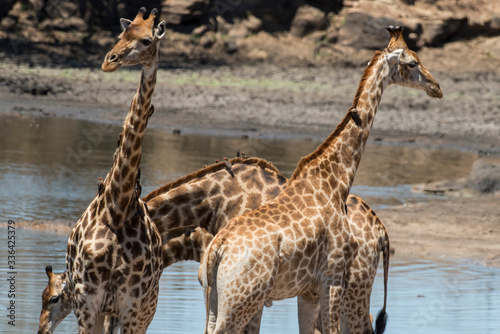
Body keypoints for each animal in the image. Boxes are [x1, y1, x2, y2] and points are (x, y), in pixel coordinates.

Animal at [64, 8, 166, 334]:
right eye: (122, 34)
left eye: (146, 40)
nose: (109, 60)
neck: (117, 207)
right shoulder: (87, 301)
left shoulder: (131, 305)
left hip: (147, 310)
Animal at [199, 26, 442, 334]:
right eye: (412, 62)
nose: (437, 87)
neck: (336, 182)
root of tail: (217, 250)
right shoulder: (333, 277)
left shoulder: (309, 291)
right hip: (241, 300)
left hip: (213, 299)